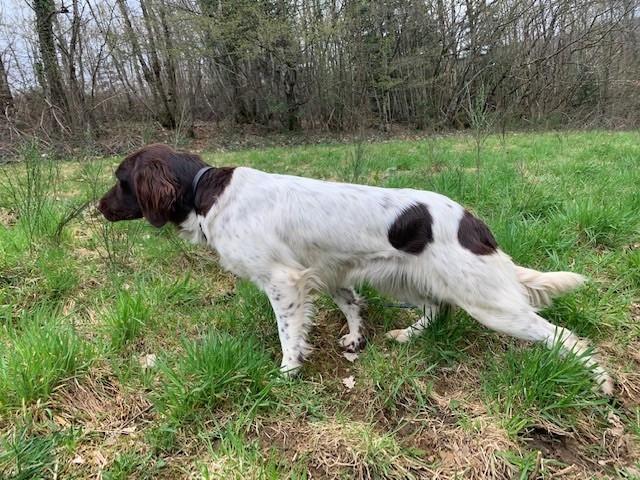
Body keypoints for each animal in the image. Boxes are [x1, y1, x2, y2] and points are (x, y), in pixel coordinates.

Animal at [97, 142, 612, 394]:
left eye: (121, 182)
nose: (97, 208)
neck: (206, 193)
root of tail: (474, 223)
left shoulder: (284, 281)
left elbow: (288, 335)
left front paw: (287, 373)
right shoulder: (326, 271)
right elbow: (350, 305)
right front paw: (355, 339)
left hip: (490, 303)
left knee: (563, 337)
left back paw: (601, 384)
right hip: (411, 278)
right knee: (436, 310)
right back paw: (407, 335)